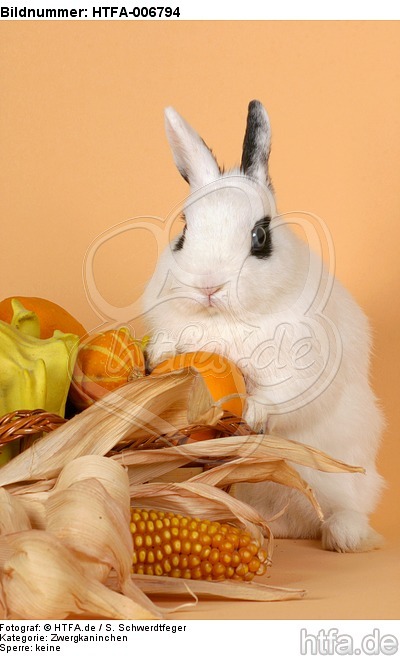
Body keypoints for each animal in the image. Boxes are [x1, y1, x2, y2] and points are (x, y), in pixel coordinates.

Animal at [142, 100, 385, 552]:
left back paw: (343, 538)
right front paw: (156, 356)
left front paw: (255, 413)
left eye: (260, 237)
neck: (225, 318)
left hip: (352, 475)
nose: (208, 285)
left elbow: (281, 396)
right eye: (184, 233)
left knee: (349, 509)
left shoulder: (302, 365)